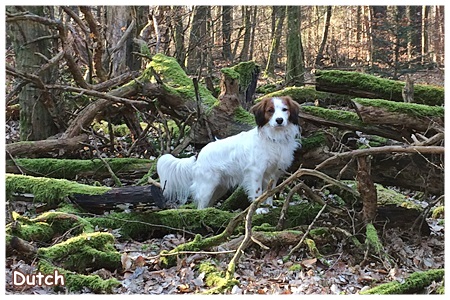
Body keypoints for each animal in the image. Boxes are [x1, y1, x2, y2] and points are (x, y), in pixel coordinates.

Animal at [156, 95, 300, 209]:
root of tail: (199, 154)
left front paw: (268, 207)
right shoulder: (256, 172)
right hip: (207, 187)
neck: (274, 138)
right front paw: (258, 210)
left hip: (219, 188)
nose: (279, 120)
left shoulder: (274, 173)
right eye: (270, 111)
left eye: (285, 109)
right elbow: (257, 193)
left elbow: (270, 192)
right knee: (200, 206)